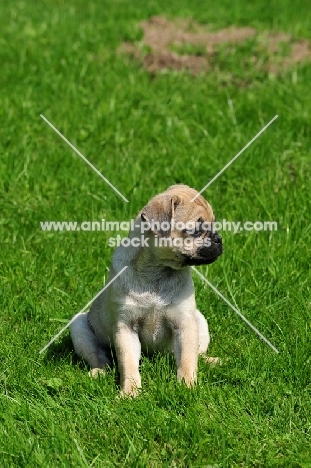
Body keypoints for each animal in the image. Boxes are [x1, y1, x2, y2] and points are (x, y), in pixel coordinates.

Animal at [70, 185, 223, 396]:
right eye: (196, 230)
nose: (219, 239)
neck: (158, 271)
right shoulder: (126, 328)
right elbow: (128, 364)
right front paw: (130, 392)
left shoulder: (184, 324)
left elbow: (187, 360)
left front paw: (187, 387)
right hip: (78, 327)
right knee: (101, 357)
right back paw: (98, 372)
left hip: (199, 321)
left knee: (196, 353)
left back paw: (210, 361)